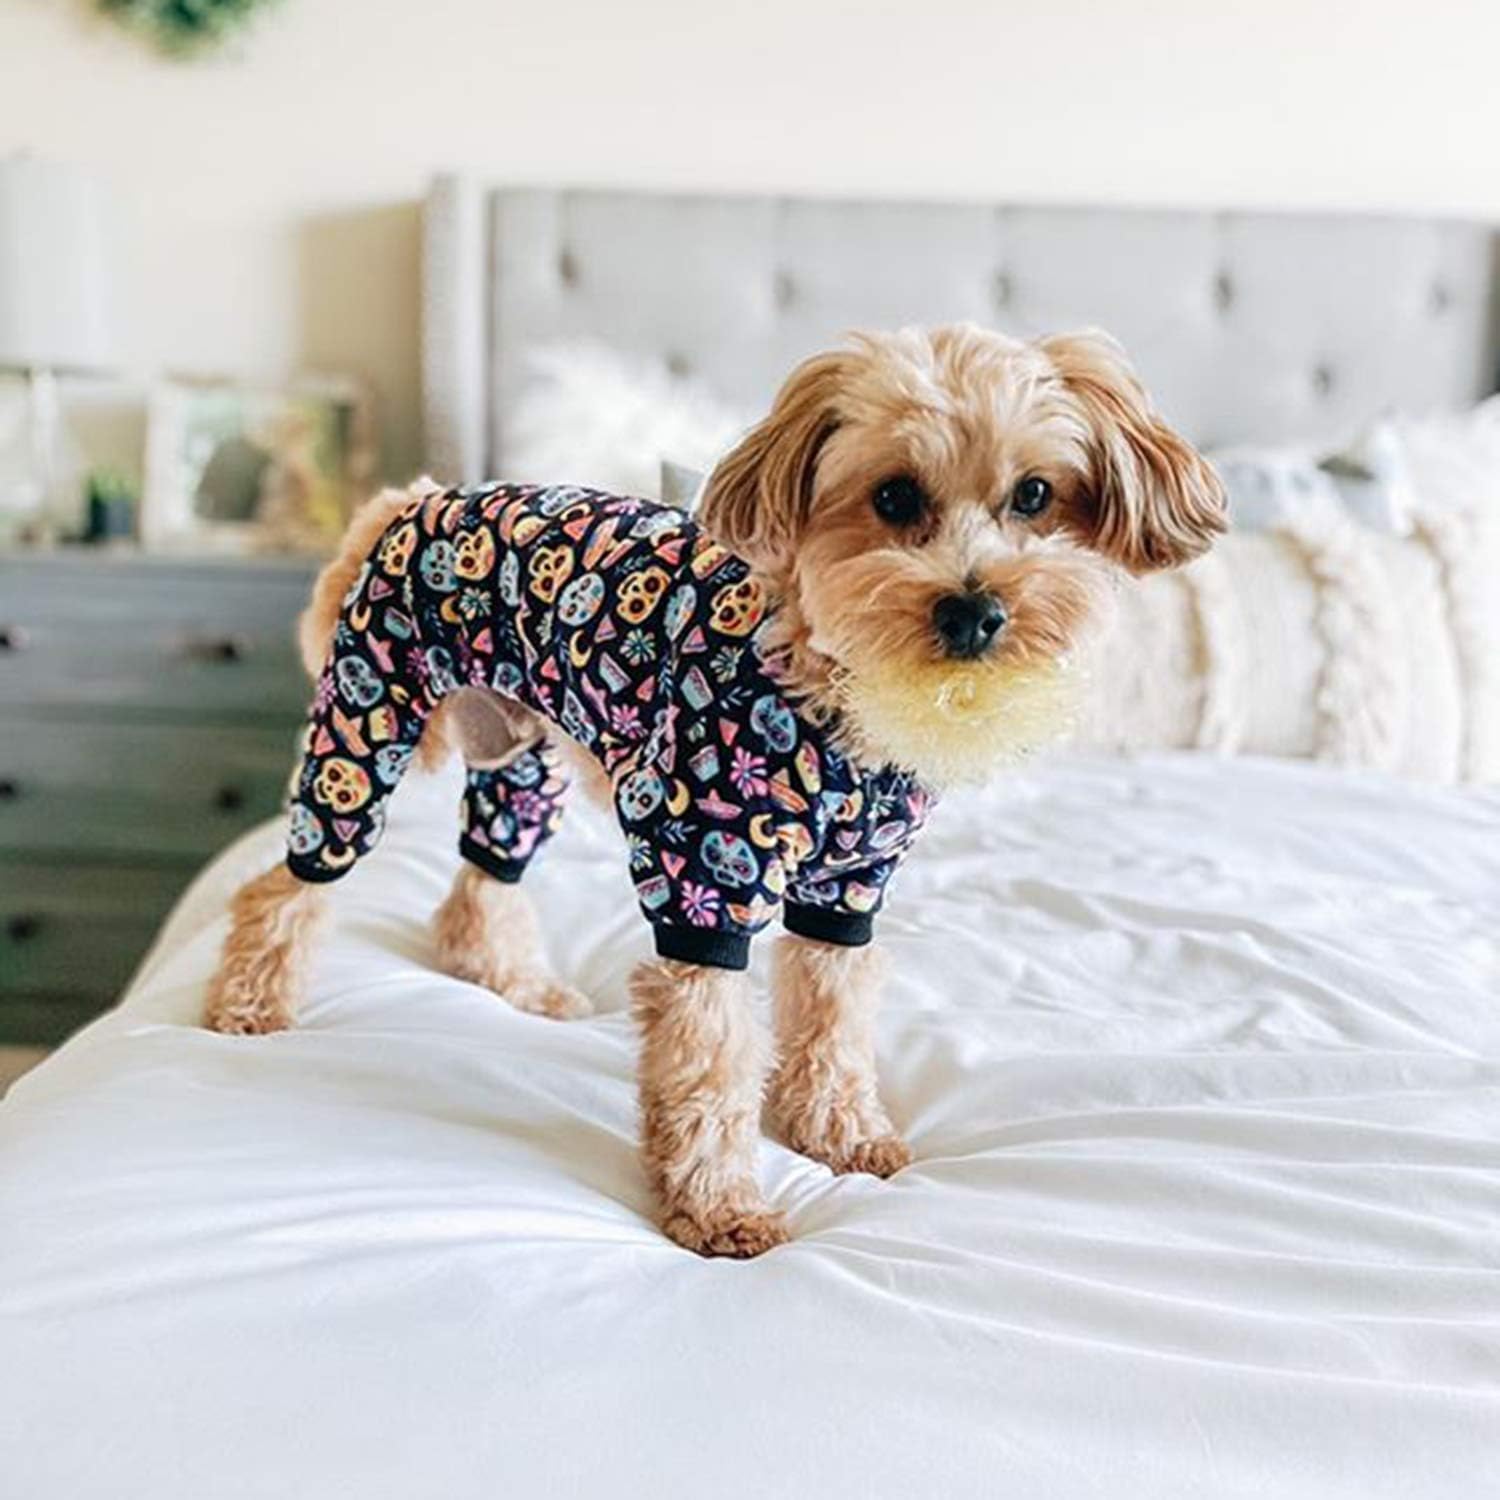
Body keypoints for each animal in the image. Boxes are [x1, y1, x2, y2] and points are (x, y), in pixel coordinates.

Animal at [203, 324, 1225, 1258]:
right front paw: (720, 1207)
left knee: (481, 881)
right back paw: (248, 1006)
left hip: (519, 752)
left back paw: (516, 984)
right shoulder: (698, 874)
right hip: (362, 726)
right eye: (894, 496)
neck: (826, 681)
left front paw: (839, 1132)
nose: (975, 610)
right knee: (284, 888)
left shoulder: (847, 888)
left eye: (1036, 495)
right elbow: (709, 1061)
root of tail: (409, 500)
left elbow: (833, 1018)